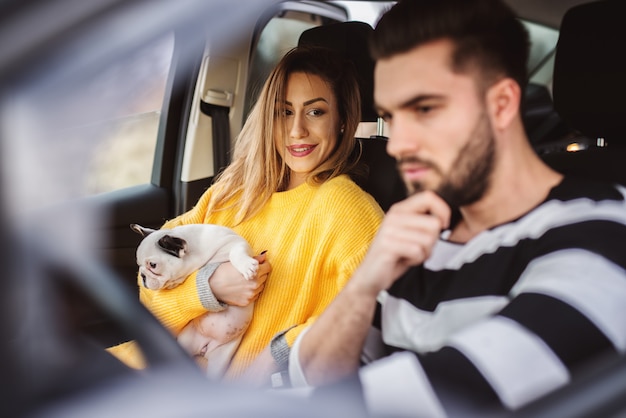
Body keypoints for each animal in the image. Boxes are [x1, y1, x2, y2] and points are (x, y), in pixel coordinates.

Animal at [132, 224, 258, 378]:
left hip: (220, 357)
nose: (142, 276)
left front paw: (246, 266)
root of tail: (205, 347)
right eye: (139, 265)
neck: (198, 253)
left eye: (153, 265)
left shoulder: (237, 243)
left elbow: (236, 253)